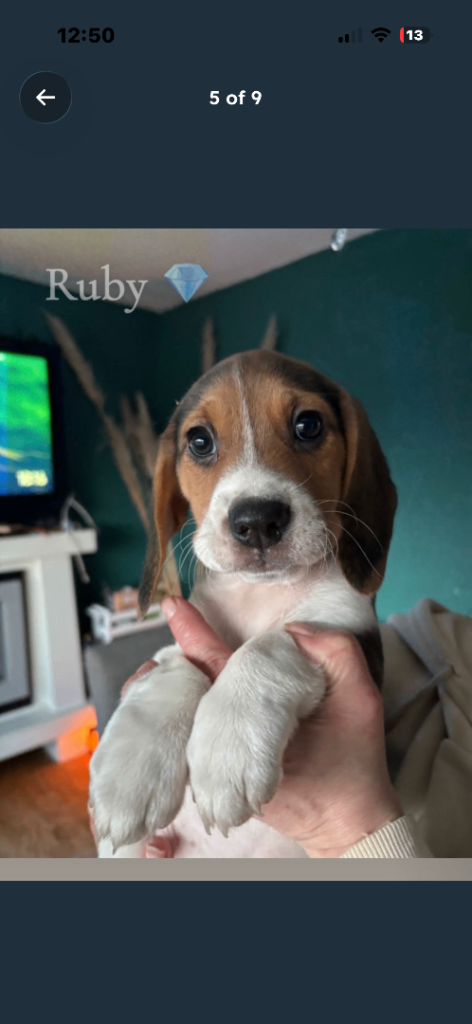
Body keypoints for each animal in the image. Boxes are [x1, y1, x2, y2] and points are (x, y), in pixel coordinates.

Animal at [90, 350, 397, 858]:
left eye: (308, 425)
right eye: (199, 441)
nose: (256, 521)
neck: (260, 592)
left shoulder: (347, 632)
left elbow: (268, 646)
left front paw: (228, 746)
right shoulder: (183, 636)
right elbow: (177, 665)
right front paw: (130, 773)